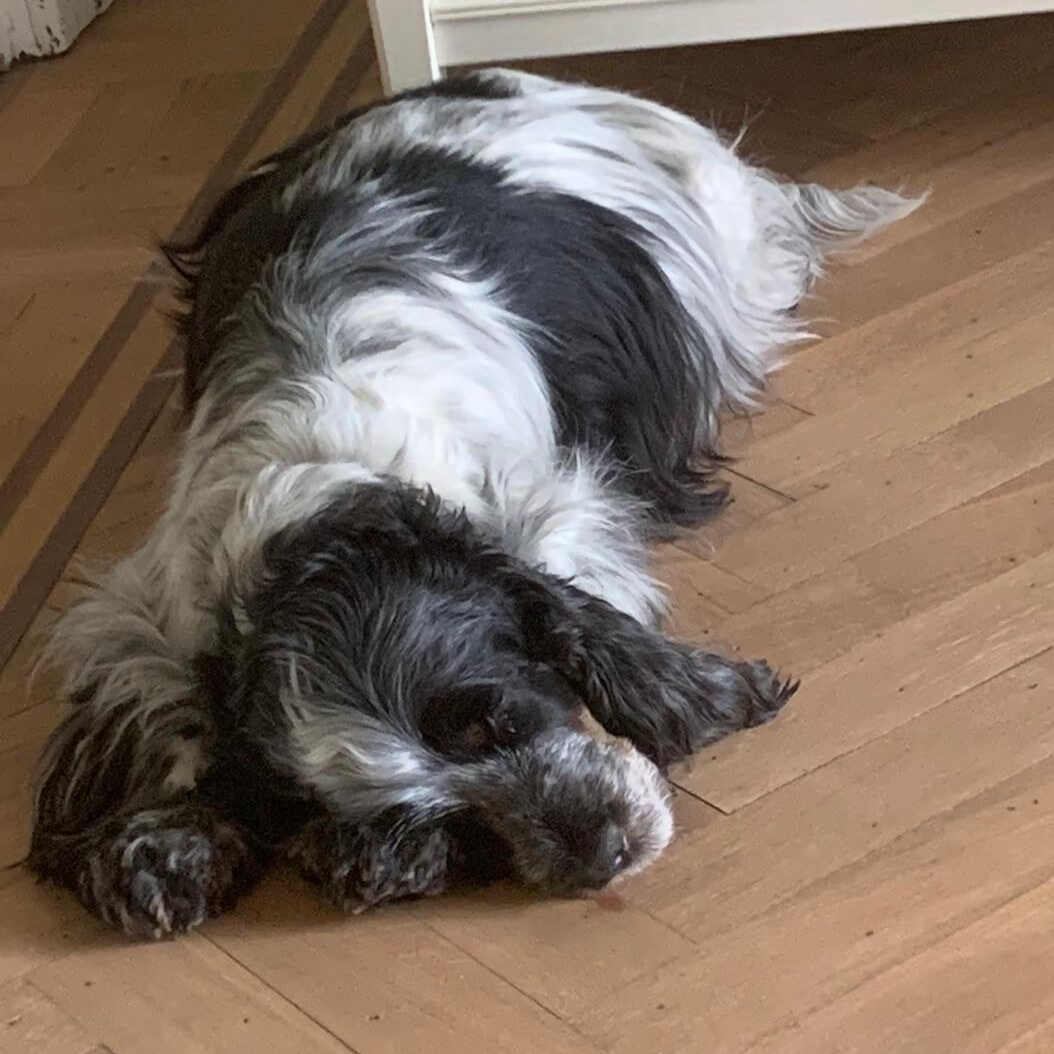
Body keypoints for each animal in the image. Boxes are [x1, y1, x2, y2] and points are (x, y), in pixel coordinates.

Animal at [28, 69, 918, 939]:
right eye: (439, 812)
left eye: (499, 717)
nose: (598, 851)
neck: (324, 488)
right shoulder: (163, 594)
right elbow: (160, 704)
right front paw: (169, 844)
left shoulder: (553, 511)